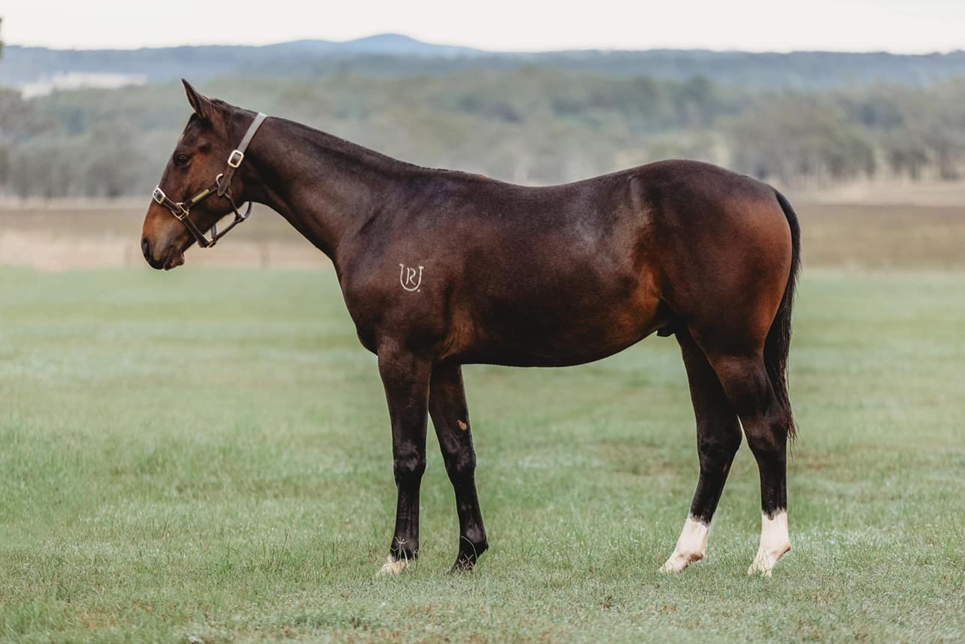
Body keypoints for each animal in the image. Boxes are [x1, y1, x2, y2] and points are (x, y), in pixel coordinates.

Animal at [142, 80, 800, 577]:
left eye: (184, 156)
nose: (151, 243)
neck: (379, 213)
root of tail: (766, 189)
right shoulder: (443, 363)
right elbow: (459, 453)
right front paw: (466, 556)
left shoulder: (402, 356)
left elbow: (409, 456)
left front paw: (398, 559)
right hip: (696, 345)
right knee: (717, 440)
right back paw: (680, 556)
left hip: (730, 349)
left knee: (764, 430)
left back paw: (768, 556)